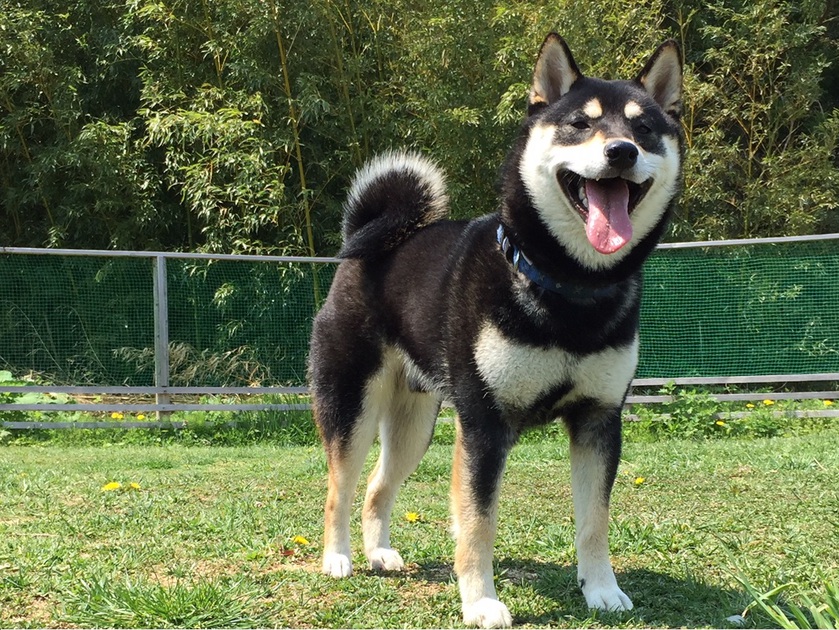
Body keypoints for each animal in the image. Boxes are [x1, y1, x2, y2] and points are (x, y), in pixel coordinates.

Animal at [308, 35, 684, 630]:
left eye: (644, 128)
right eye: (580, 123)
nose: (622, 151)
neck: (567, 288)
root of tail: (367, 242)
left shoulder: (599, 418)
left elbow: (594, 521)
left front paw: (602, 591)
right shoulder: (484, 424)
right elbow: (477, 522)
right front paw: (480, 601)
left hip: (415, 426)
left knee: (376, 489)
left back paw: (379, 553)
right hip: (353, 407)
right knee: (338, 489)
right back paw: (339, 558)